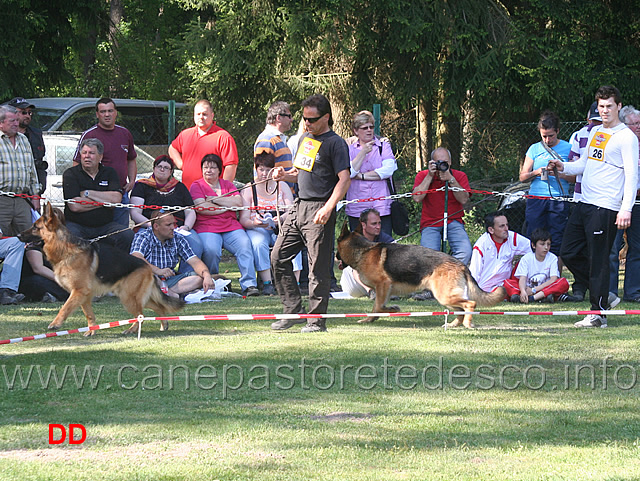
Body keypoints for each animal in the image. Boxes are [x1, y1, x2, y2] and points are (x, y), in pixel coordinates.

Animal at [18, 202, 184, 334]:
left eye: (35, 227)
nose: (18, 235)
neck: (64, 250)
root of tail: (148, 267)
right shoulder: (83, 295)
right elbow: (89, 314)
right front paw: (91, 331)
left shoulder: (79, 291)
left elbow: (64, 308)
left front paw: (55, 324)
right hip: (131, 296)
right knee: (156, 308)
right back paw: (163, 324)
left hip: (128, 297)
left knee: (140, 315)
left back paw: (132, 330)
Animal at [338, 222, 508, 326]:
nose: (335, 256)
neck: (363, 251)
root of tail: (461, 265)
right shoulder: (383, 290)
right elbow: (377, 307)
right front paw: (371, 319)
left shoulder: (383, 285)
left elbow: (378, 307)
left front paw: (391, 310)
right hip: (446, 298)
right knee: (460, 310)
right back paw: (454, 324)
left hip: (444, 296)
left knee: (470, 303)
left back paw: (466, 323)